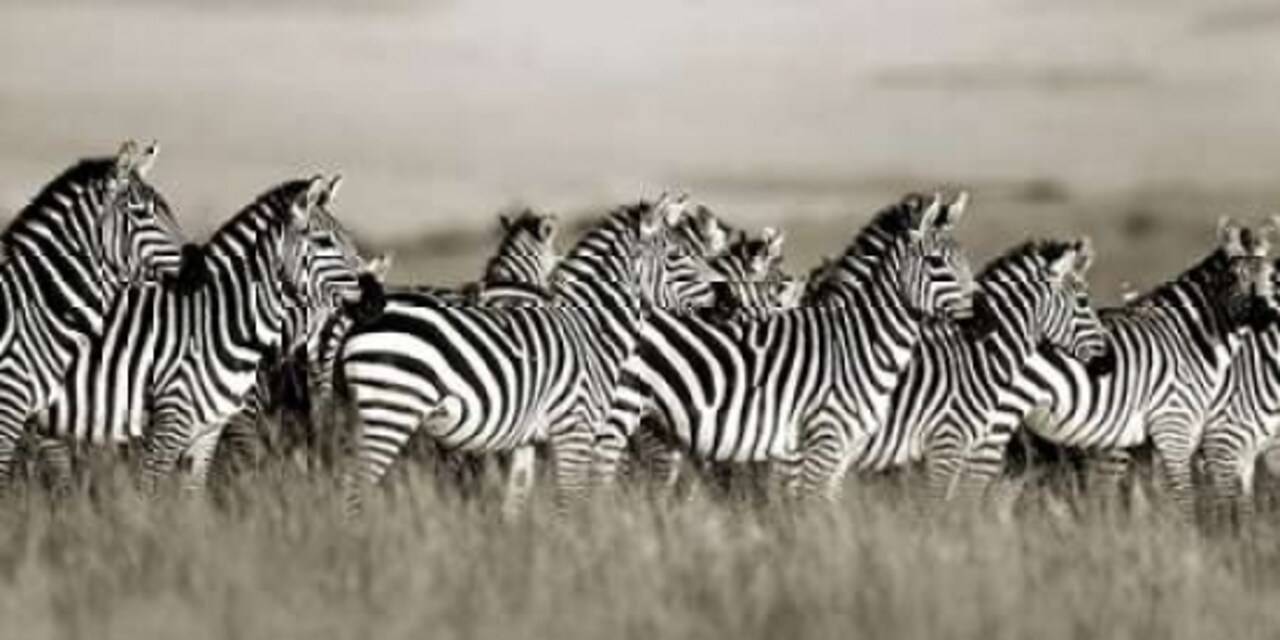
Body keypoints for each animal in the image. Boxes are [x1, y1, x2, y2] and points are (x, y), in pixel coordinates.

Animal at [339, 193, 720, 512]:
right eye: (677, 257)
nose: (724, 301)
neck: (591, 326)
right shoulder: (574, 429)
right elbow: (570, 503)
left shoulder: (526, 441)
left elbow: (516, 501)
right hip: (391, 411)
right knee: (355, 489)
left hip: (360, 416)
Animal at [594, 193, 982, 502]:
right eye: (936, 262)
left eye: (965, 260)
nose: (981, 319)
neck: (860, 339)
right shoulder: (810, 447)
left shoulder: (836, 450)